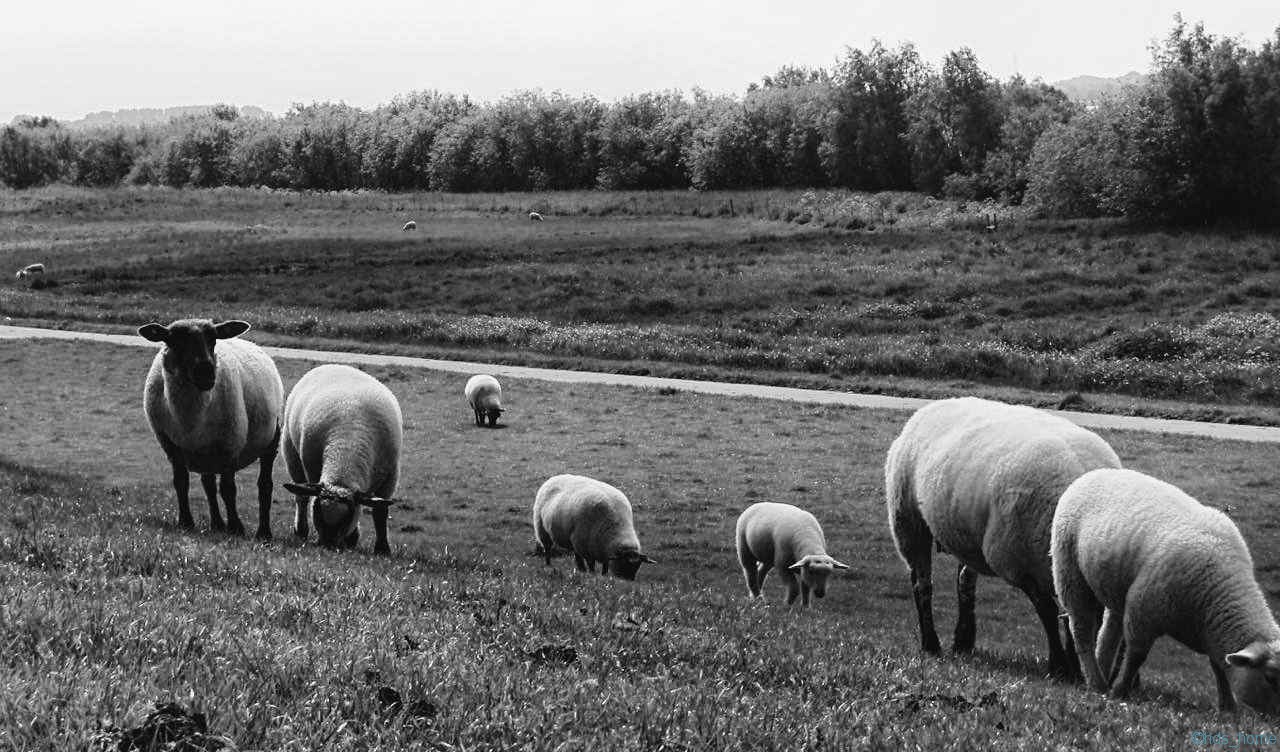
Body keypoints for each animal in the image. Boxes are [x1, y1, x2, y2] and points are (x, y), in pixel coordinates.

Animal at [142, 319, 288, 537]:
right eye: (175, 340)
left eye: (213, 339)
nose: (206, 372)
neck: (190, 418)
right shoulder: (171, 445)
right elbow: (181, 482)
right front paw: (186, 522)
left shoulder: (230, 445)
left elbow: (228, 489)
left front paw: (236, 527)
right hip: (205, 452)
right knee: (208, 484)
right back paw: (217, 524)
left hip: (270, 440)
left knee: (264, 485)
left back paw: (263, 532)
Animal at [280, 360, 399, 555]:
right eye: (318, 512)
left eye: (347, 517)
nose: (328, 545)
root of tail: (334, 364)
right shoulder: (313, 470)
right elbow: (309, 495)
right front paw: (352, 539)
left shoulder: (390, 478)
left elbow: (380, 512)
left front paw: (382, 549)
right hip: (292, 454)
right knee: (301, 496)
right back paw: (301, 530)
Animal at [880, 396, 1121, 680]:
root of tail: (934, 406)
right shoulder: (1018, 564)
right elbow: (1048, 612)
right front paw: (1059, 666)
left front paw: (1067, 665)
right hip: (907, 519)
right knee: (922, 584)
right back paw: (931, 644)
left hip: (968, 536)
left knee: (964, 582)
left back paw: (963, 642)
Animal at [1049, 468, 1280, 716]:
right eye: (1270, 678)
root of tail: (1093, 474)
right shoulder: (1143, 611)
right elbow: (1136, 656)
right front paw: (1120, 691)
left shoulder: (1210, 630)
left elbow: (1218, 666)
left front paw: (1228, 707)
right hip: (1069, 571)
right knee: (1081, 630)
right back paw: (1096, 682)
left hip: (1117, 588)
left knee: (1107, 633)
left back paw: (1100, 672)